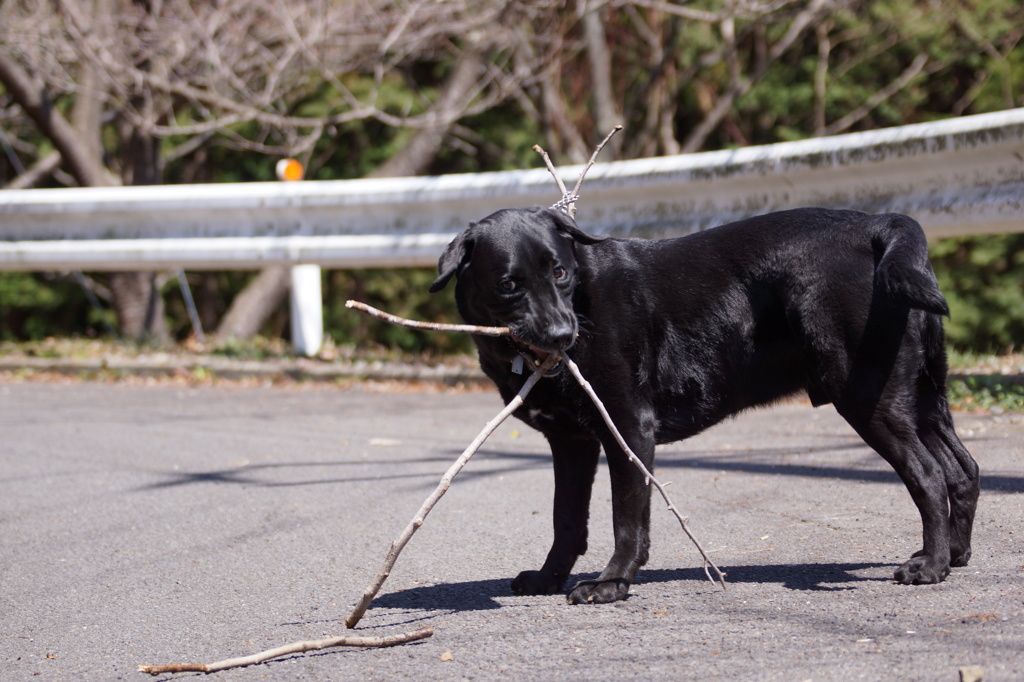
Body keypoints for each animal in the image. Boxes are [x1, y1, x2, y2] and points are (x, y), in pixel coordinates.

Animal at [428, 204, 978, 602]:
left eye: (560, 272)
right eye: (509, 284)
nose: (566, 335)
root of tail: (877, 225)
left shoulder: (628, 428)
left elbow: (627, 519)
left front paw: (610, 584)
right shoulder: (571, 443)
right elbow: (566, 520)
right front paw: (547, 579)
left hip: (868, 397)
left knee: (928, 475)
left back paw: (929, 568)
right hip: (923, 398)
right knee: (962, 470)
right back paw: (953, 555)